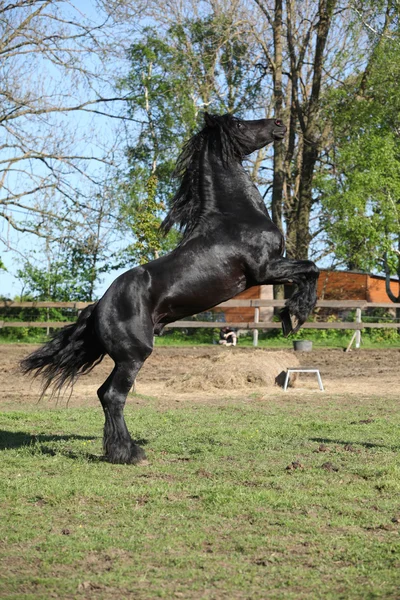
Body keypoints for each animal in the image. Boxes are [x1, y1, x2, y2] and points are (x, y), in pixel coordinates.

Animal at [21, 115, 320, 466]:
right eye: (240, 125)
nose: (278, 124)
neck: (235, 217)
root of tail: (98, 307)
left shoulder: (269, 271)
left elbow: (310, 270)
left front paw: (293, 316)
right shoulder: (265, 270)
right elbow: (311, 269)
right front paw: (294, 316)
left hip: (124, 358)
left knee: (103, 394)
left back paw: (119, 451)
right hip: (134, 355)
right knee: (113, 395)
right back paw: (131, 454)